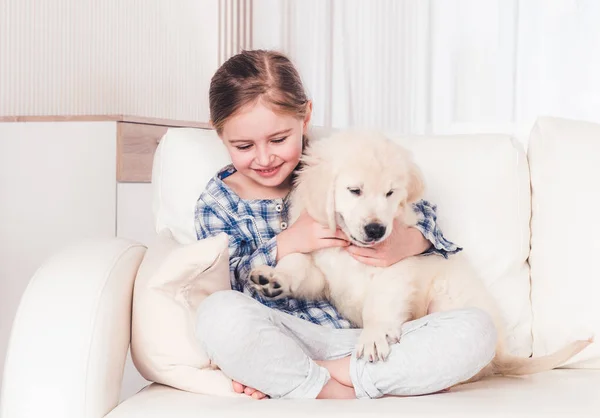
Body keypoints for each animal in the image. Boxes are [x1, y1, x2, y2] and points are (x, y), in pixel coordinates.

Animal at [250, 130, 592, 378]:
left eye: (390, 193)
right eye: (354, 191)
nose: (376, 230)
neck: (350, 246)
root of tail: (503, 353)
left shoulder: (394, 269)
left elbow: (380, 304)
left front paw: (374, 334)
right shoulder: (322, 271)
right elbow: (298, 266)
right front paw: (272, 279)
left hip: (448, 299)